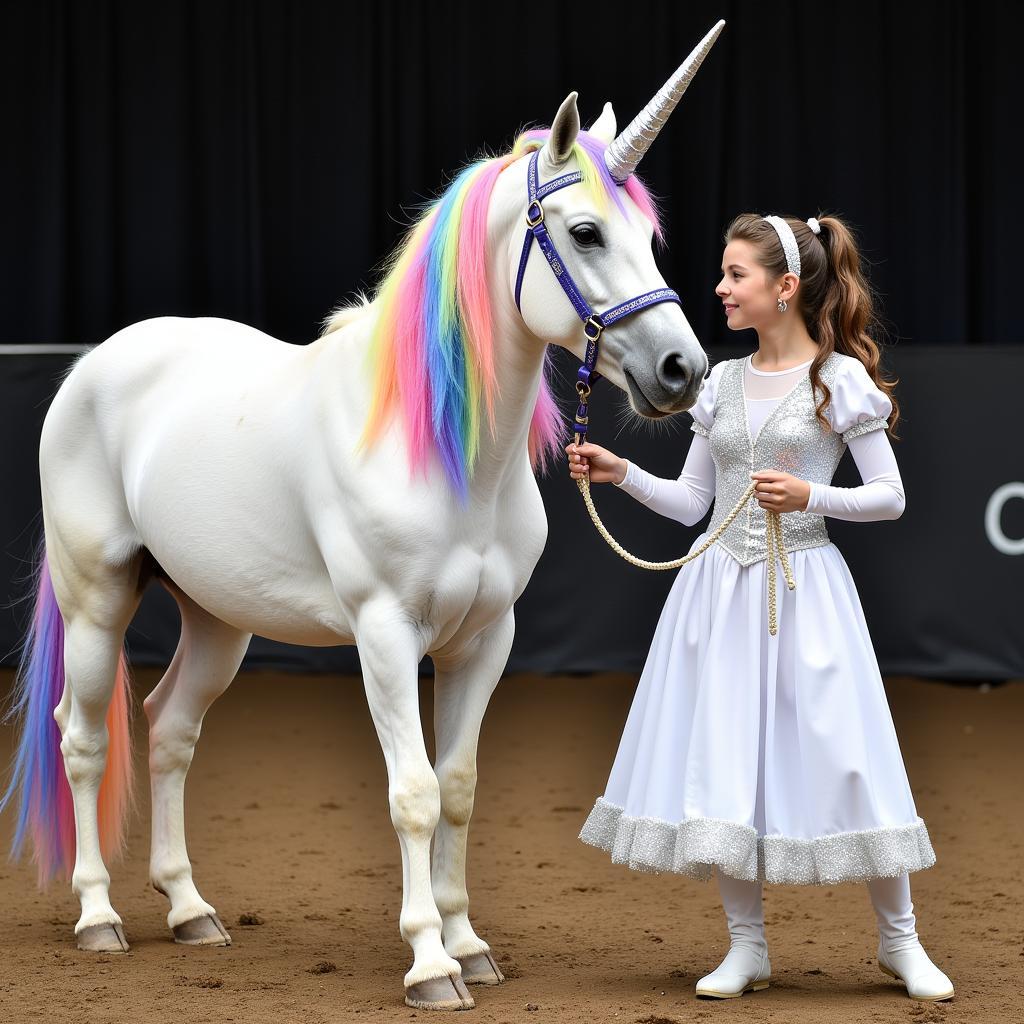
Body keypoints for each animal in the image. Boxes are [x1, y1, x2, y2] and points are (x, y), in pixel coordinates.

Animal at [2, 22, 720, 1007]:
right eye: (584, 232)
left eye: (648, 236)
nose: (682, 371)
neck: (448, 458)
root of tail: (95, 365)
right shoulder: (386, 633)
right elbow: (412, 791)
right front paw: (429, 964)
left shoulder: (485, 638)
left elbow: (458, 785)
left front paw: (471, 946)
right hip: (97, 602)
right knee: (81, 739)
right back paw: (99, 917)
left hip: (217, 617)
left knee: (171, 729)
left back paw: (190, 912)